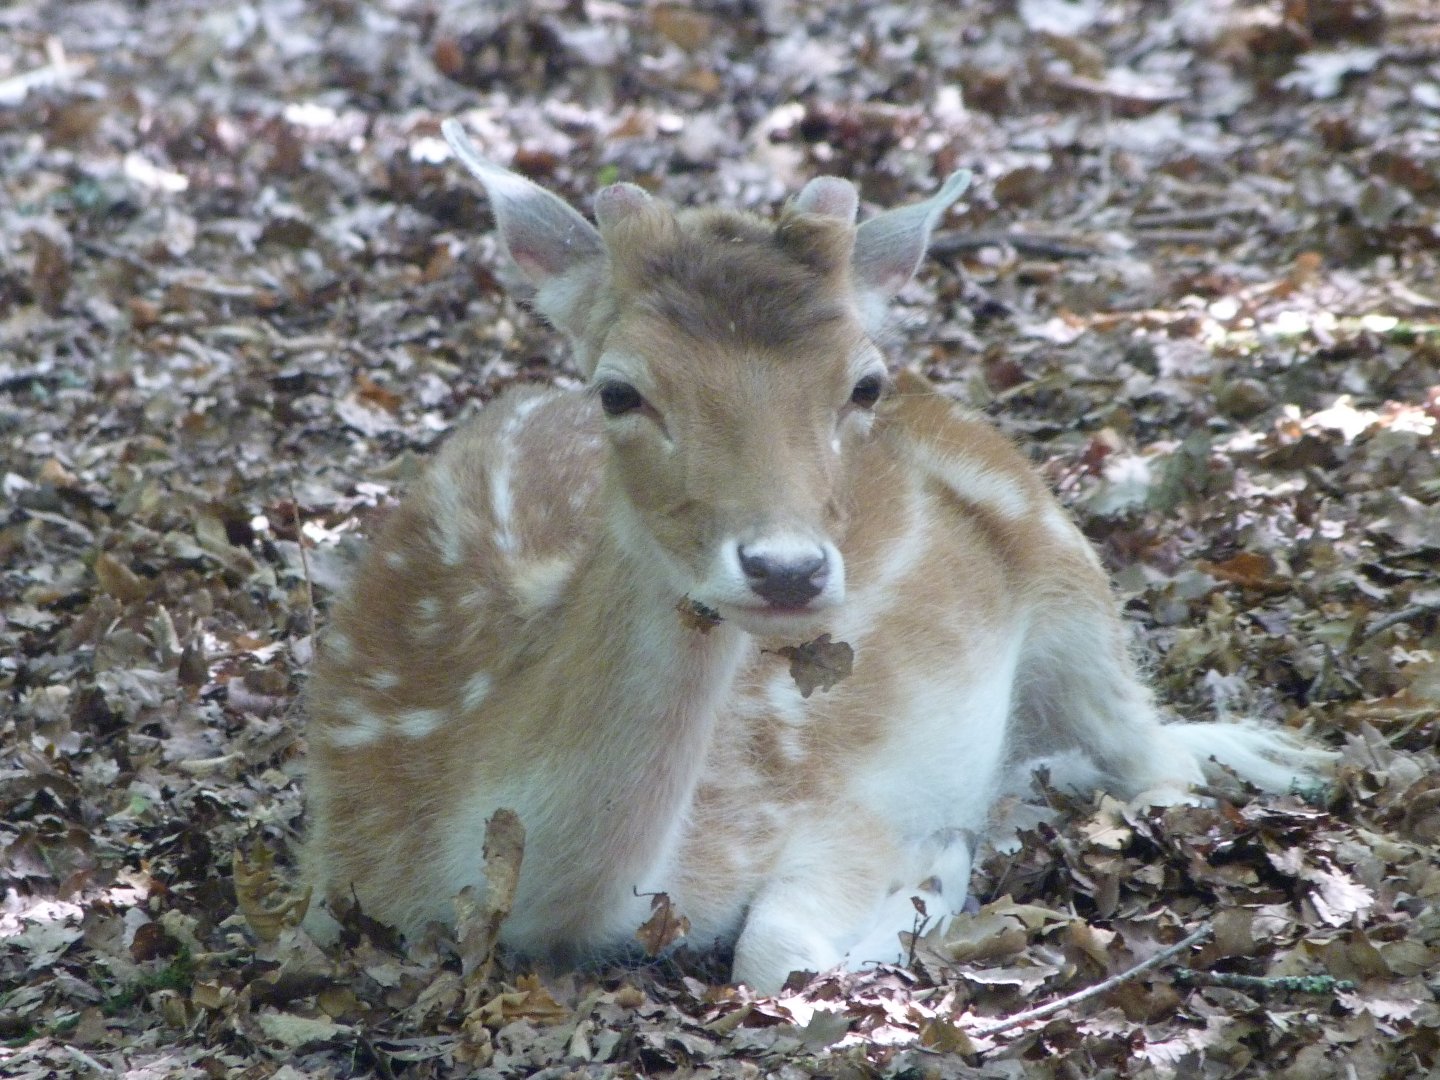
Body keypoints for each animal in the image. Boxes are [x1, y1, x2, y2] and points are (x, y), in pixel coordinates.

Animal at [301, 119, 1332, 993]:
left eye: (862, 382)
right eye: (620, 390)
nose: (787, 569)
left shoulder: (839, 807)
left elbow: (773, 949)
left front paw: (935, 874)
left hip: (1067, 569)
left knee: (1156, 759)